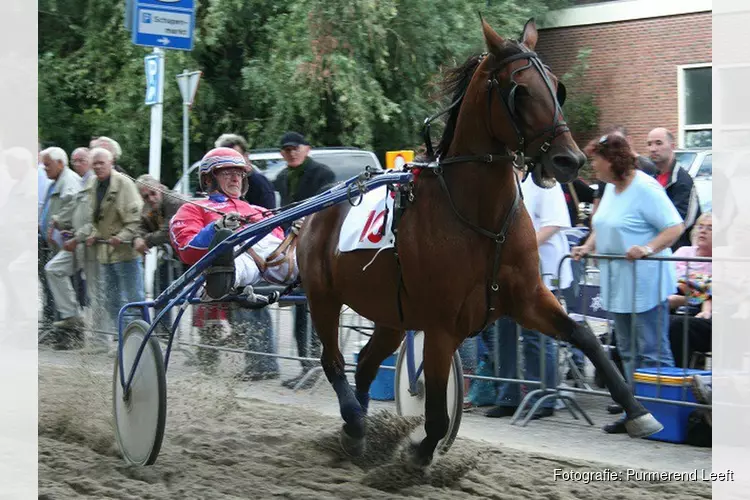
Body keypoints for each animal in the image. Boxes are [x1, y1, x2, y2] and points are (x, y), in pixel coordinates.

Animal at [296, 18, 660, 464]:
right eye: (520, 90)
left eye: (557, 87)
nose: (569, 160)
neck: (480, 220)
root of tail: (320, 204)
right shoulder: (440, 326)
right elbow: (436, 414)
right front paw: (418, 455)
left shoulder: (526, 298)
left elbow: (585, 336)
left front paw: (637, 411)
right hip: (323, 298)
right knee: (332, 361)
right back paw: (354, 420)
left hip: (391, 315)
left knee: (363, 364)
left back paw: (357, 431)